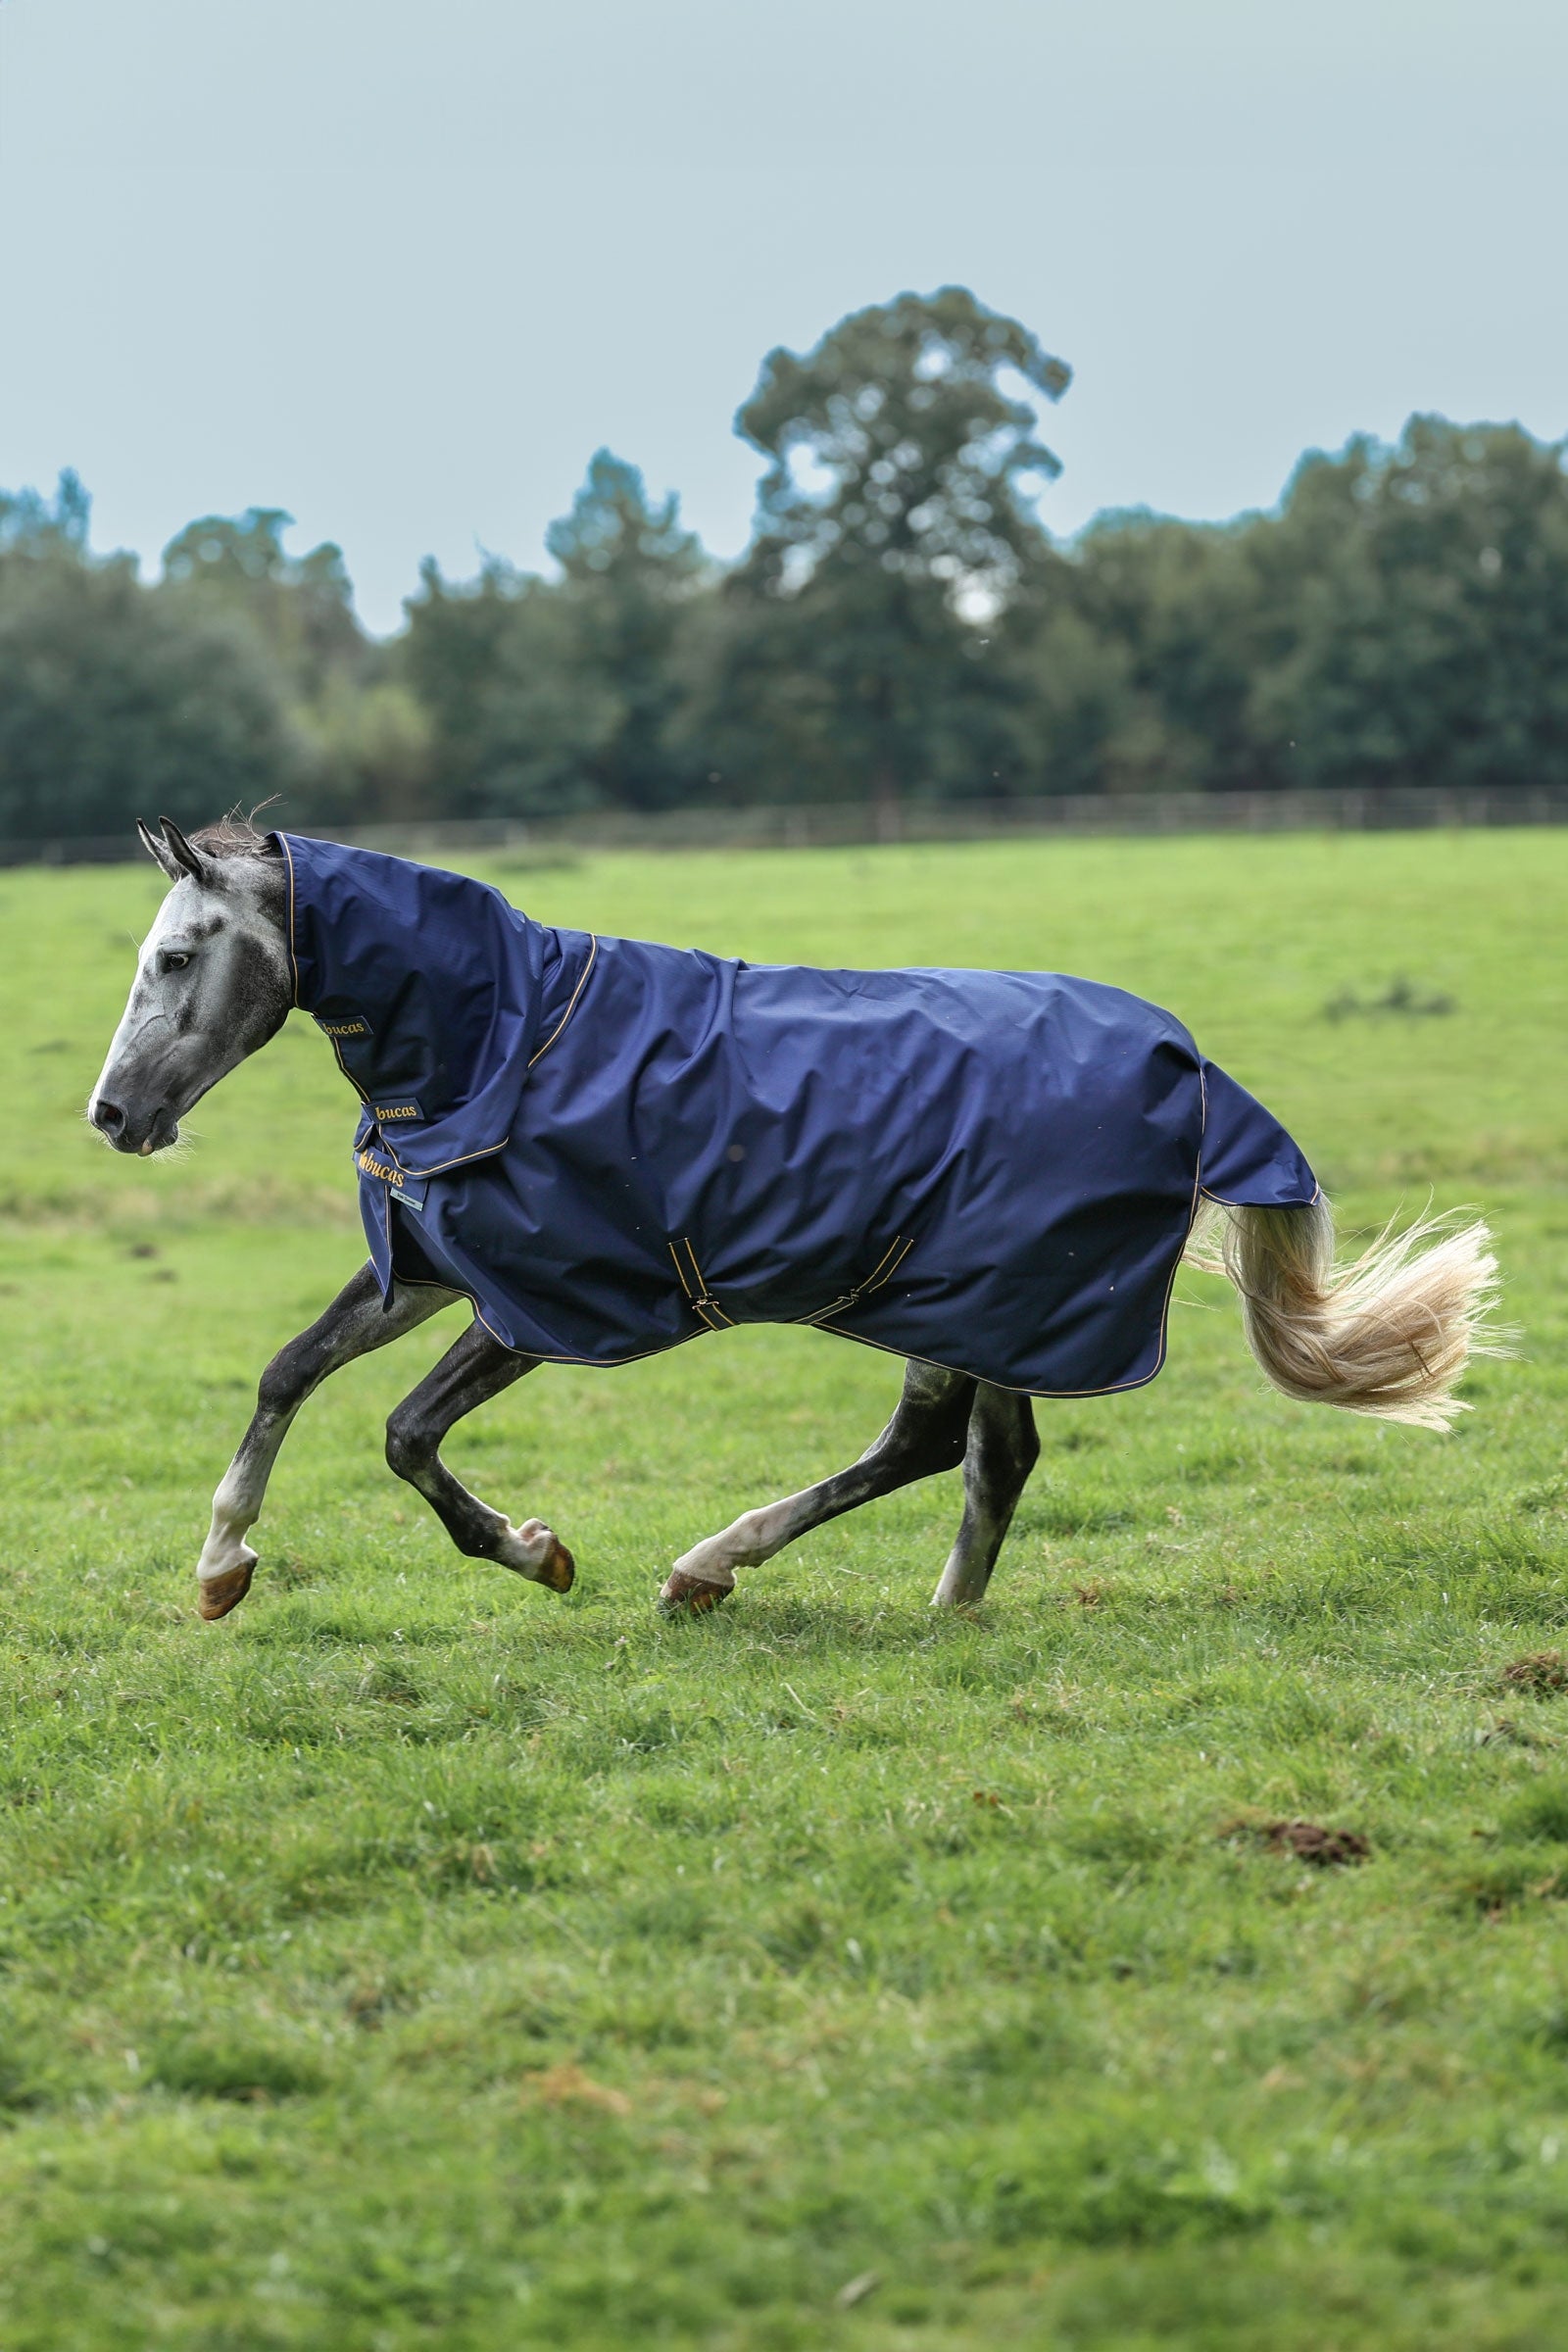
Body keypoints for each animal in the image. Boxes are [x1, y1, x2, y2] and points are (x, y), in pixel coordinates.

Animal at [89, 816, 1500, 1624]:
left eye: (175, 957)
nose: (112, 1114)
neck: (508, 1042)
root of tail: (1197, 1072)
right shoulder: (436, 1264)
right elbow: (288, 1373)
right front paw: (220, 1570)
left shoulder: (546, 1299)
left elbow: (403, 1435)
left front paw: (536, 1553)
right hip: (983, 1306)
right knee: (983, 1457)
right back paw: (934, 1608)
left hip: (984, 1300)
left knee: (942, 1448)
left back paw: (719, 1568)